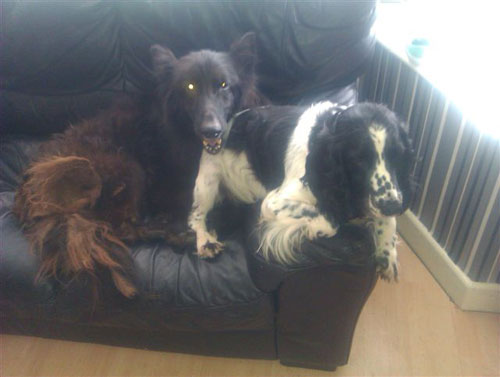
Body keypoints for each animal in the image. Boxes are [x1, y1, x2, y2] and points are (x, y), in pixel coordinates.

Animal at [188, 101, 414, 280]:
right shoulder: (274, 201)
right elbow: (330, 222)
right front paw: (317, 228)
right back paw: (206, 243)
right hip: (207, 180)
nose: (393, 206)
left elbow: (388, 221)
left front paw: (387, 252)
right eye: (358, 160)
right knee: (195, 218)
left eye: (398, 154)